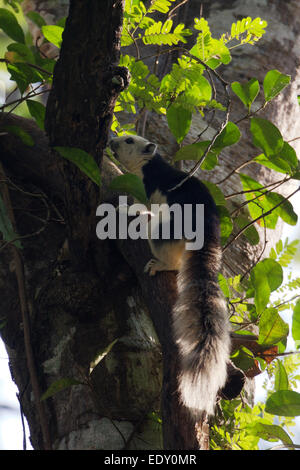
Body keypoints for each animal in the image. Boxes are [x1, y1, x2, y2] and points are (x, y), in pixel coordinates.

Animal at [109, 134, 231, 416]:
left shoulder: (146, 187)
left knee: (164, 246)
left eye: (129, 140)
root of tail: (208, 231)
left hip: (168, 229)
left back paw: (159, 263)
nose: (111, 141)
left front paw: (124, 210)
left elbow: (139, 204)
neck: (149, 165)